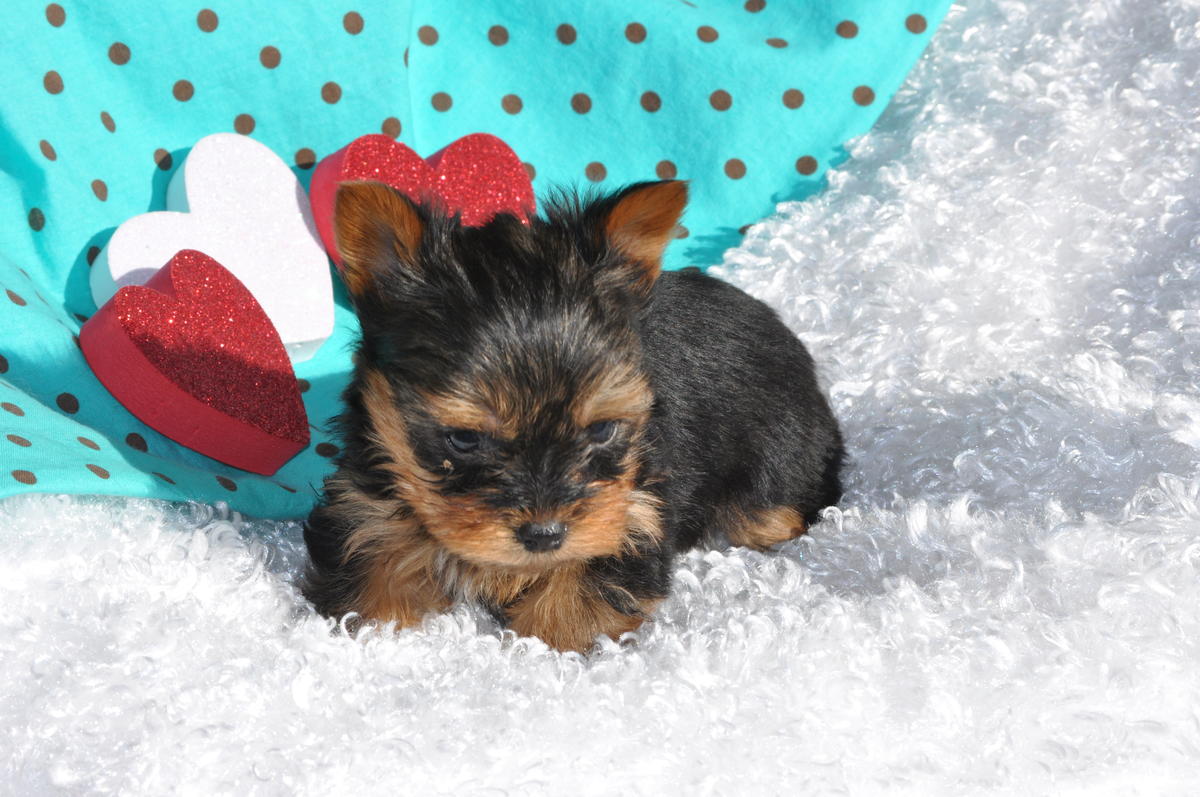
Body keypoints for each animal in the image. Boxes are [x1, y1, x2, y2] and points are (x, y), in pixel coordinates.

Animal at [300, 177, 844, 652]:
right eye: (464, 439)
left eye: (601, 430)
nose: (545, 535)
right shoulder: (367, 502)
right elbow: (372, 563)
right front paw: (377, 630)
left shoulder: (632, 512)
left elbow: (579, 595)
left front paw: (547, 649)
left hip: (775, 467)